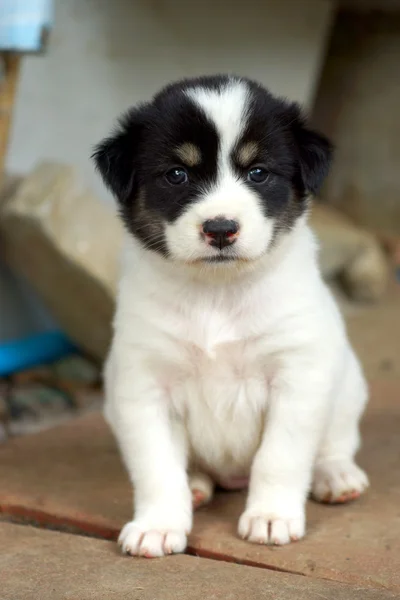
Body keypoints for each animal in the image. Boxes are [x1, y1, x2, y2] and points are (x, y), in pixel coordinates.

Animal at [94, 75, 368, 556]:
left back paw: (335, 475)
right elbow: (155, 466)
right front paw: (158, 524)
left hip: (347, 383)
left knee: (336, 441)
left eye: (258, 172)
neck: (217, 294)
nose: (220, 229)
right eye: (177, 174)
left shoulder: (297, 378)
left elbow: (280, 457)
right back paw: (196, 485)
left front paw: (271, 516)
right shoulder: (143, 386)